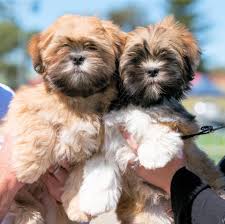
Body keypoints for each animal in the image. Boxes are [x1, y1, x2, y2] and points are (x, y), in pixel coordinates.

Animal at [3, 14, 125, 223]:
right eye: (63, 46)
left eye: (92, 47)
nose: (77, 58)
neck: (76, 98)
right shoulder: (26, 104)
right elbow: (41, 129)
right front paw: (29, 167)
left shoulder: (89, 147)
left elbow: (80, 177)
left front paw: (78, 208)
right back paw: (28, 214)